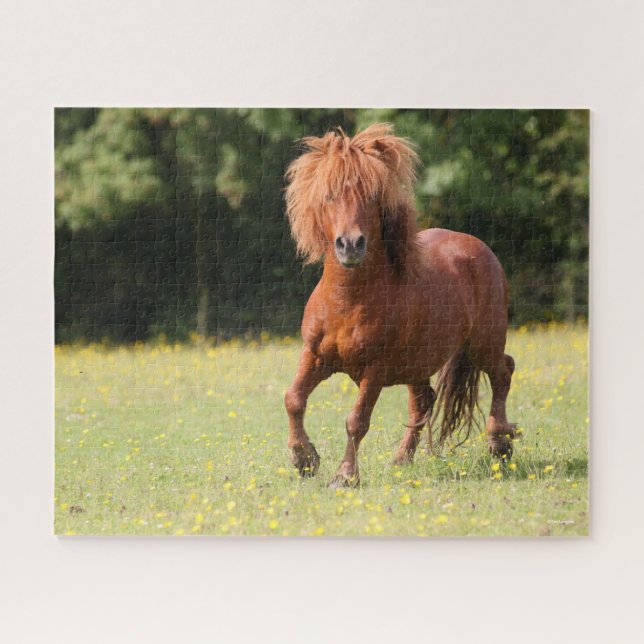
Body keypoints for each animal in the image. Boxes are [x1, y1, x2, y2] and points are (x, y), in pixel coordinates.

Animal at [284, 123, 517, 487]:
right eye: (329, 195)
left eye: (371, 196)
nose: (350, 244)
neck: (347, 301)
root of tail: (479, 248)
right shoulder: (315, 355)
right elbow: (293, 399)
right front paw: (304, 459)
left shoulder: (375, 371)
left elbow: (356, 420)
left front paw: (344, 476)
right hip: (417, 362)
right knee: (424, 401)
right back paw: (400, 459)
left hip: (483, 345)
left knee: (503, 371)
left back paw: (500, 445)